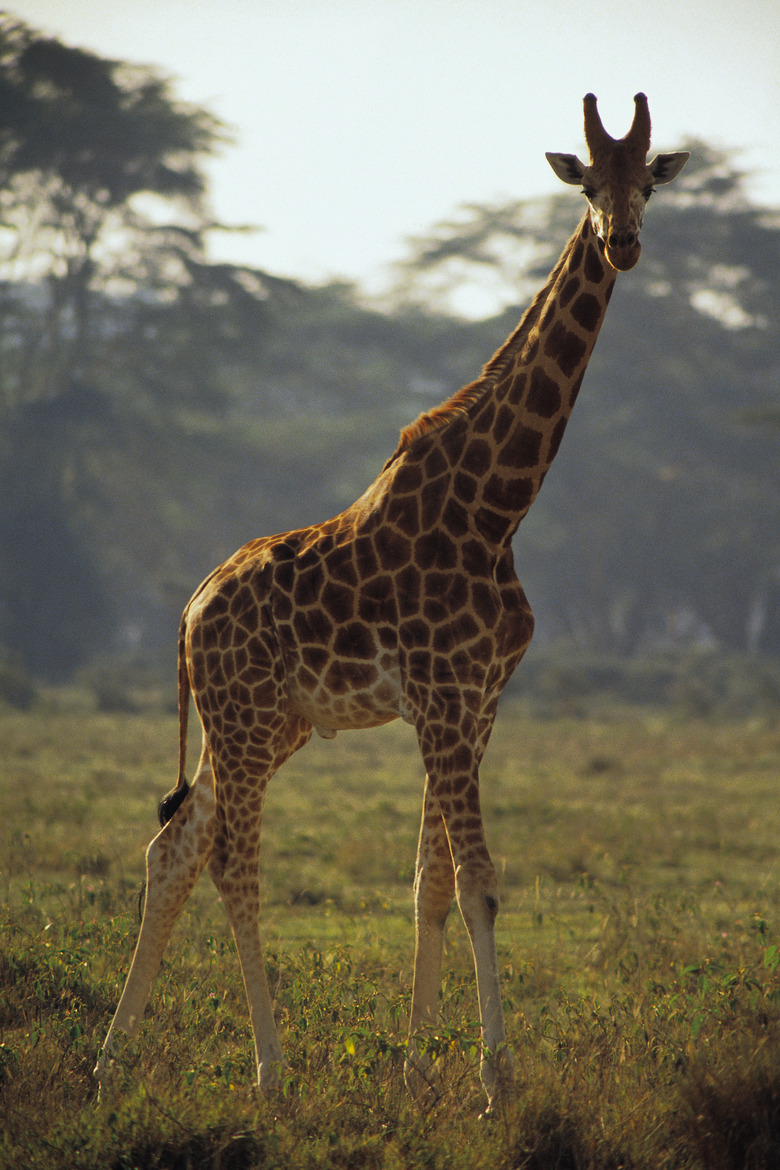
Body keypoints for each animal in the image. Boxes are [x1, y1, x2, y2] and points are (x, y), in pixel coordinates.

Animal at [95, 95, 687, 1109]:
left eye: (649, 182)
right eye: (588, 187)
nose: (624, 245)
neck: (499, 506)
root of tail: (186, 612)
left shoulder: (478, 702)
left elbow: (431, 883)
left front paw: (418, 1070)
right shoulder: (444, 701)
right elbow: (480, 881)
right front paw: (495, 1080)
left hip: (264, 723)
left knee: (172, 848)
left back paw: (110, 1061)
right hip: (243, 722)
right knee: (234, 866)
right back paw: (271, 1075)